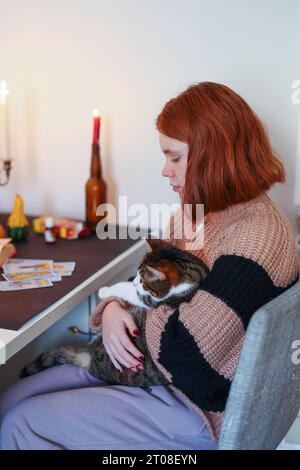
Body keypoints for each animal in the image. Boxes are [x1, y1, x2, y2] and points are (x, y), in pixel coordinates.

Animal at [20, 237, 209, 388]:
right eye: (137, 274)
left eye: (142, 280)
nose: (134, 281)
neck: (190, 275)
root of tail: (91, 359)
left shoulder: (151, 300)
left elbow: (127, 290)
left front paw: (105, 290)